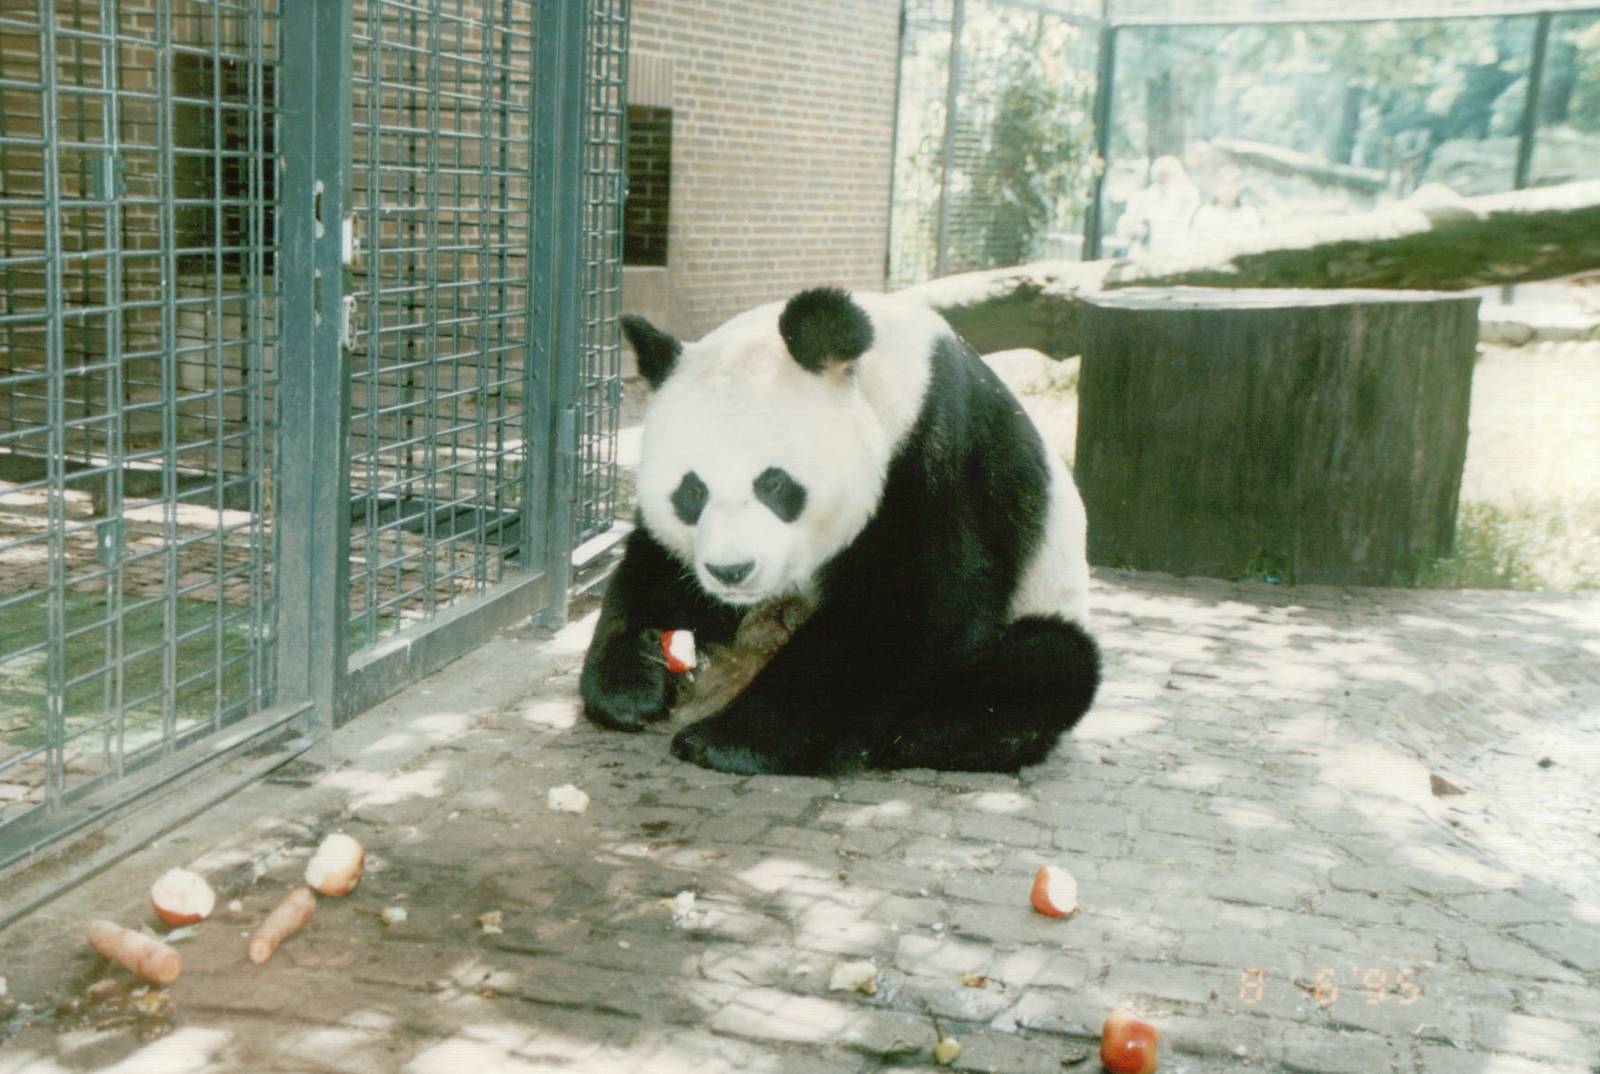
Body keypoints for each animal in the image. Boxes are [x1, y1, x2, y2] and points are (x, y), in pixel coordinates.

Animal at [579, 286, 1100, 776]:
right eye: (691, 491)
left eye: (773, 483)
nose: (732, 571)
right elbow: (652, 574)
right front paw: (634, 682)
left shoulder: (941, 457)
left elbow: (909, 607)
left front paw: (728, 739)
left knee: (1044, 663)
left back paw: (926, 734)